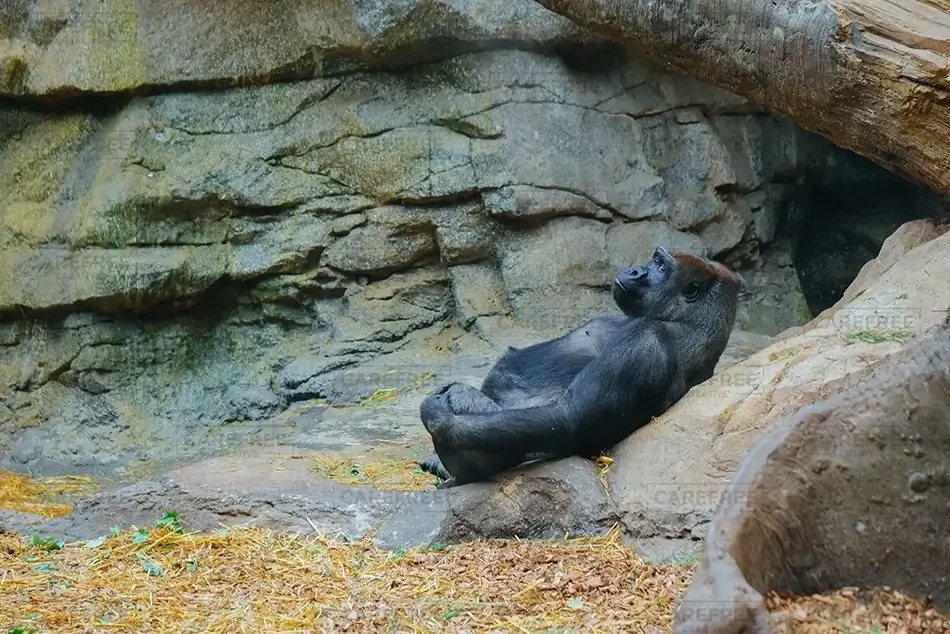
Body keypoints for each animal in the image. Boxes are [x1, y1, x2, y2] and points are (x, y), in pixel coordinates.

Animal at [417, 245, 744, 488]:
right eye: (654, 260)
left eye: (661, 268)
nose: (635, 271)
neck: (687, 322)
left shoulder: (645, 344)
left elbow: (566, 419)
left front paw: (440, 419)